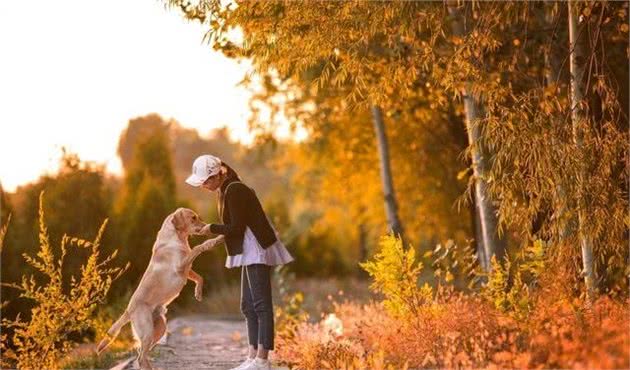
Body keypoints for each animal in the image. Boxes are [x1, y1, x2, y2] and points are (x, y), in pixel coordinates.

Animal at [96, 208, 225, 370]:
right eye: (193, 218)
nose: (206, 226)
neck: (176, 237)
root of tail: (128, 310)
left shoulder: (186, 269)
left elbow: (199, 277)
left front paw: (198, 293)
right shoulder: (181, 265)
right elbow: (198, 247)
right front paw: (215, 240)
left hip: (159, 328)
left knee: (141, 353)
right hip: (147, 330)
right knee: (140, 357)